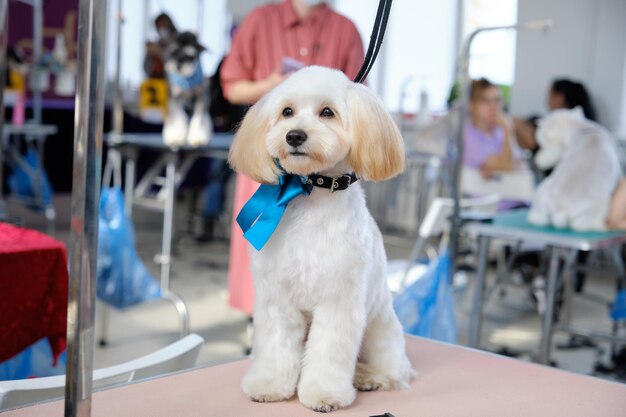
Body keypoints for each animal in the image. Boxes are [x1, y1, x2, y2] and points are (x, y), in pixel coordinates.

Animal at [228, 66, 414, 412]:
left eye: (327, 112)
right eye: (287, 112)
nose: (294, 135)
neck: (312, 193)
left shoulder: (339, 301)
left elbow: (329, 351)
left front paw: (324, 394)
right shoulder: (278, 298)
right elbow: (276, 345)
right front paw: (269, 385)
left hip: (381, 331)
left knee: (395, 372)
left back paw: (368, 377)